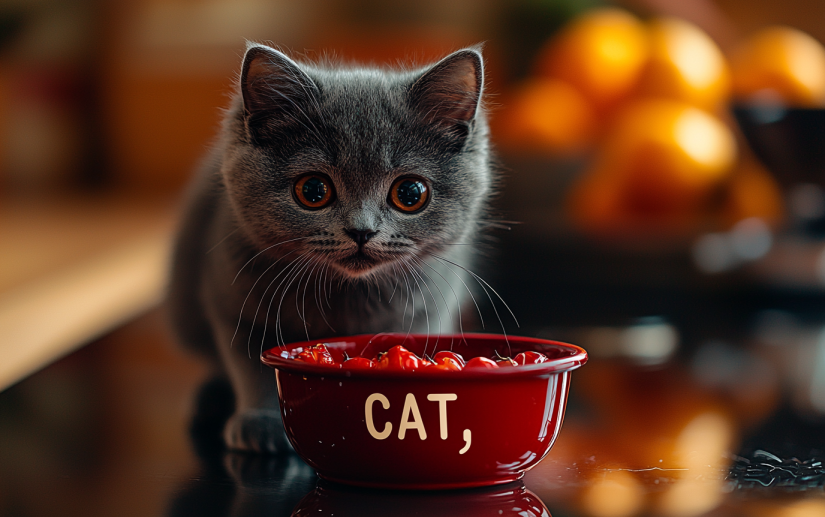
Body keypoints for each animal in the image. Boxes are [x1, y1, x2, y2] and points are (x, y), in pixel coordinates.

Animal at [164, 43, 492, 452]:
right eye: (313, 190)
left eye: (410, 193)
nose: (361, 230)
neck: (345, 295)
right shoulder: (231, 302)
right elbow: (250, 365)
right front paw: (261, 422)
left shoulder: (426, 309)